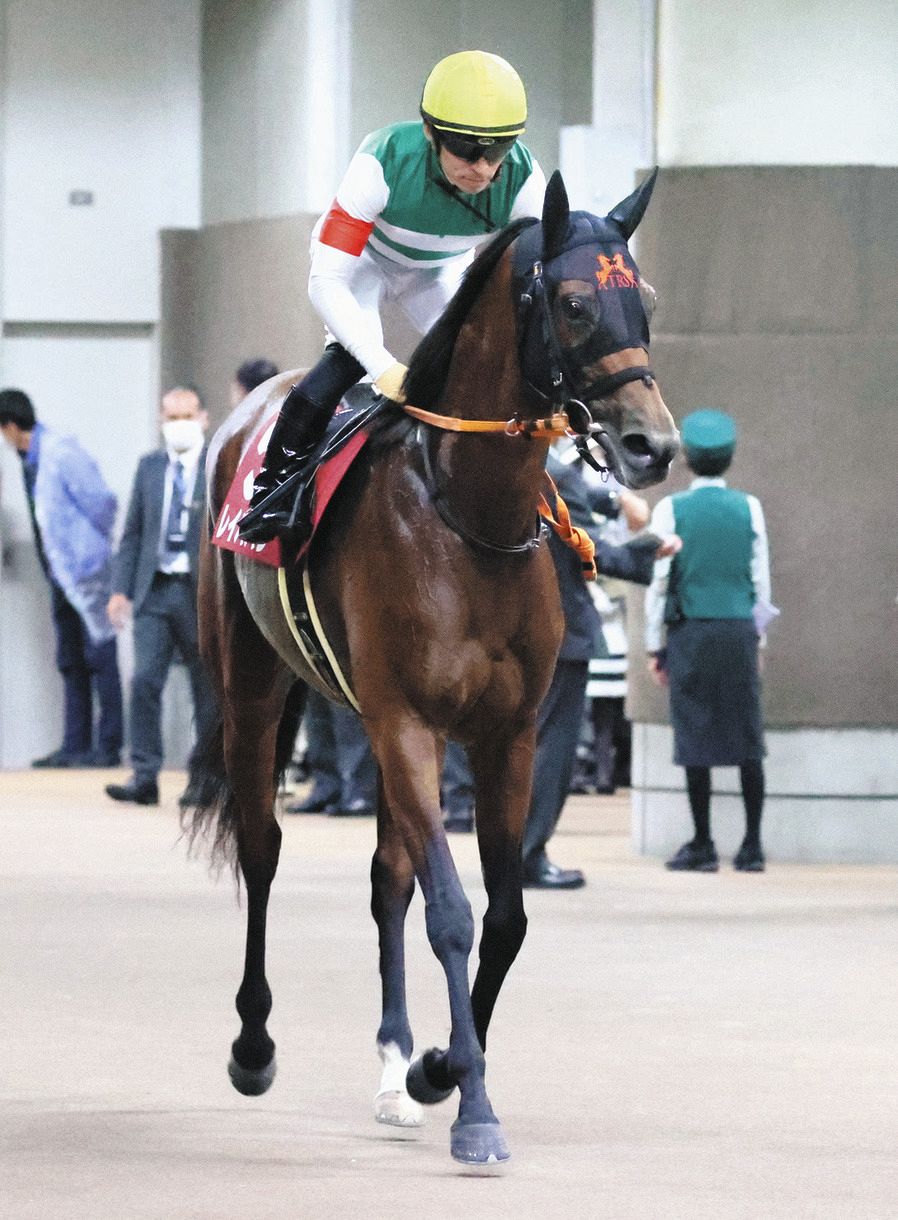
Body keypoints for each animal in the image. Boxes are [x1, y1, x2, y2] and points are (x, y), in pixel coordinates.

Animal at [191, 169, 678, 1161]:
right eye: (575, 304)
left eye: (643, 299)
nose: (653, 444)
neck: (469, 517)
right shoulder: (408, 722)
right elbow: (451, 912)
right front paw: (474, 1106)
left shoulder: (505, 734)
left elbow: (502, 917)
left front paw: (437, 1068)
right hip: (255, 685)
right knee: (261, 848)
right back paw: (253, 1045)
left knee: (387, 877)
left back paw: (394, 1067)